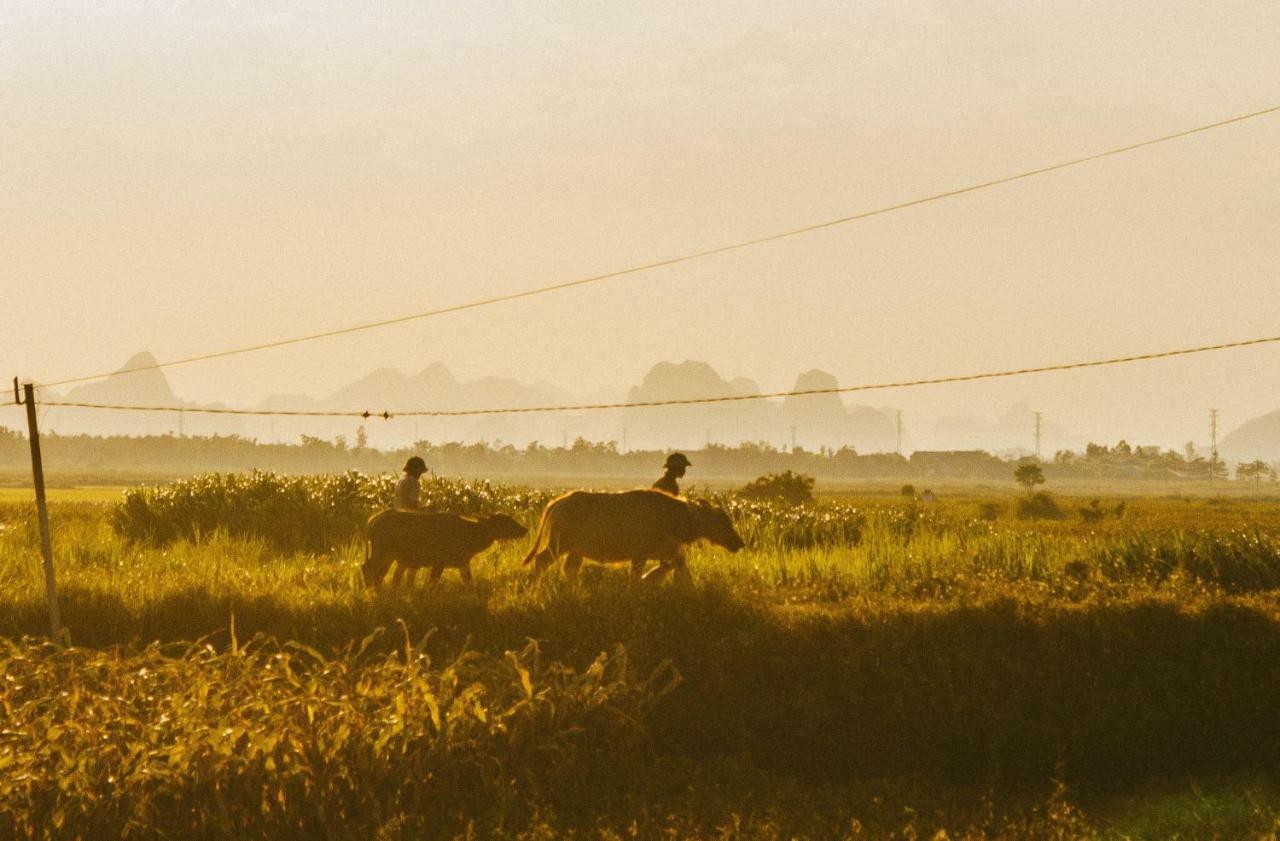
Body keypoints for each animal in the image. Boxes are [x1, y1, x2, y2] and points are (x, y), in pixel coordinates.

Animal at [360, 509, 524, 586]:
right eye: (505, 521)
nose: (525, 529)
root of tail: (371, 521)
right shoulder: (439, 563)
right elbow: (432, 583)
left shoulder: (463, 563)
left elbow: (469, 582)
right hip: (381, 552)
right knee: (367, 568)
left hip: (389, 556)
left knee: (379, 574)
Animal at [519, 488, 747, 581]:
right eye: (721, 522)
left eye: (728, 521)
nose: (739, 543)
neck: (674, 516)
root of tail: (558, 502)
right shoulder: (640, 555)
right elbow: (636, 576)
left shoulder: (672, 554)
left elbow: (682, 573)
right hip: (558, 545)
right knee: (541, 561)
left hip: (576, 551)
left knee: (569, 569)